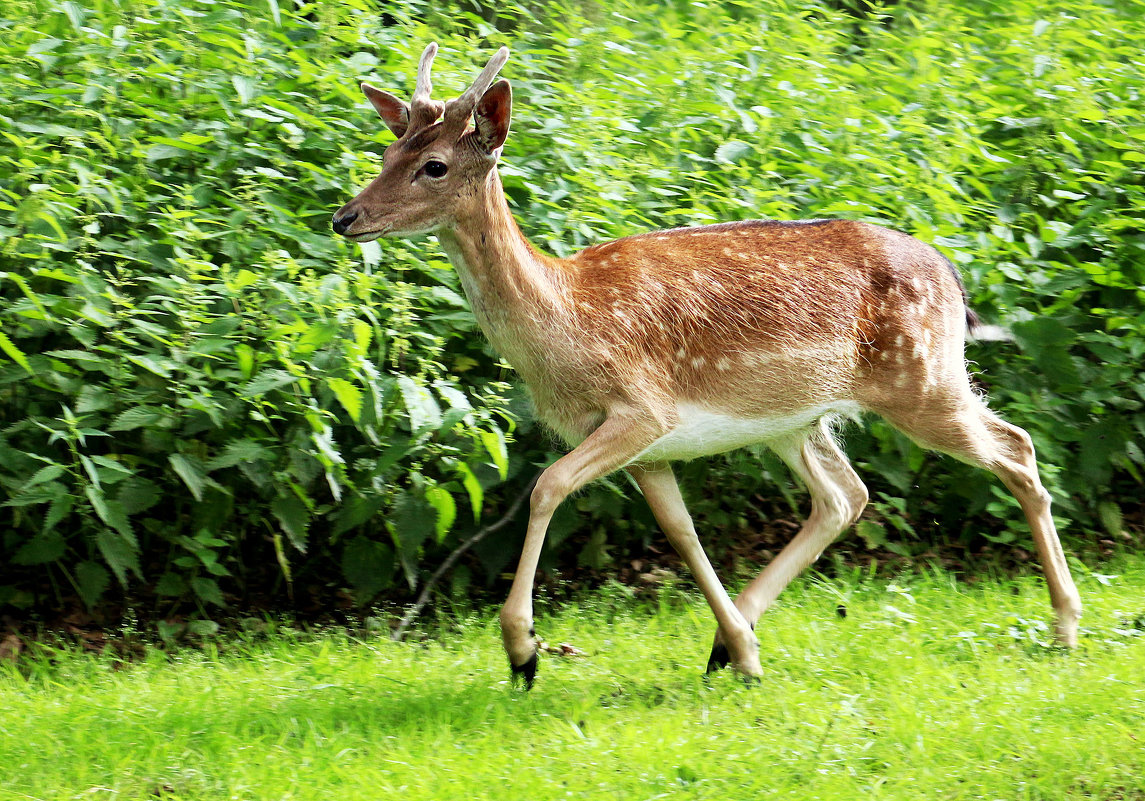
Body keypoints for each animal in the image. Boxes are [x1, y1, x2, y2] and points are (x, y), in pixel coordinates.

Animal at [332, 43, 1080, 686]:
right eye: (388, 148)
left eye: (433, 164)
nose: (347, 216)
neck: (568, 323)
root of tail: (953, 277)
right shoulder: (648, 444)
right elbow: (681, 531)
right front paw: (743, 652)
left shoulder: (643, 407)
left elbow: (548, 485)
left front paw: (523, 651)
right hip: (798, 419)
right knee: (845, 495)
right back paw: (730, 642)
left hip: (921, 379)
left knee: (1016, 449)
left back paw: (1065, 626)